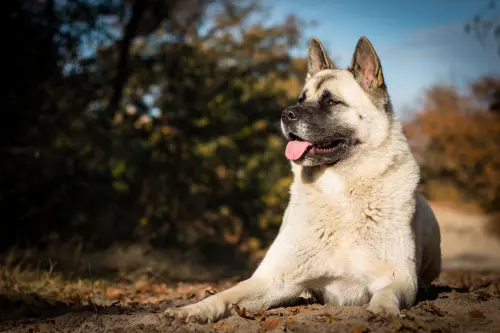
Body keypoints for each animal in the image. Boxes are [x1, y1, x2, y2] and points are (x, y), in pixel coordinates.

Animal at [164, 35, 442, 322]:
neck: (340, 192)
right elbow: (224, 295)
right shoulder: (270, 279)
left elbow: (387, 294)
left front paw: (383, 310)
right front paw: (193, 309)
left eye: (330, 102)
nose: (286, 114)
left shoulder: (398, 279)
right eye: (300, 99)